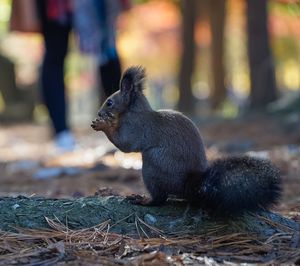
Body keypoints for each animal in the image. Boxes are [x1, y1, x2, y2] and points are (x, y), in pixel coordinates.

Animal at [91, 66, 282, 216]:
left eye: (109, 102)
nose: (99, 113)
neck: (133, 111)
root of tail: (190, 187)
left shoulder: (136, 127)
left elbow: (125, 144)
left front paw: (103, 125)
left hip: (152, 164)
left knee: (160, 198)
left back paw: (143, 200)